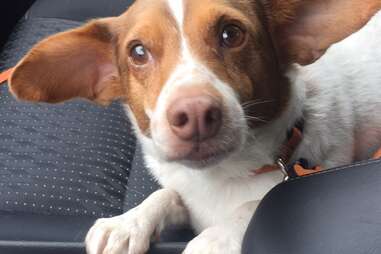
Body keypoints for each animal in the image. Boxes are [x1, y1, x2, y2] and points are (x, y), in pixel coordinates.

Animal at [7, 0, 380, 254]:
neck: (221, 178)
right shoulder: (183, 192)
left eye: (231, 34)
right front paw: (128, 222)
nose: (195, 112)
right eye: (138, 52)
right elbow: (165, 194)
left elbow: (252, 205)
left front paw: (213, 240)